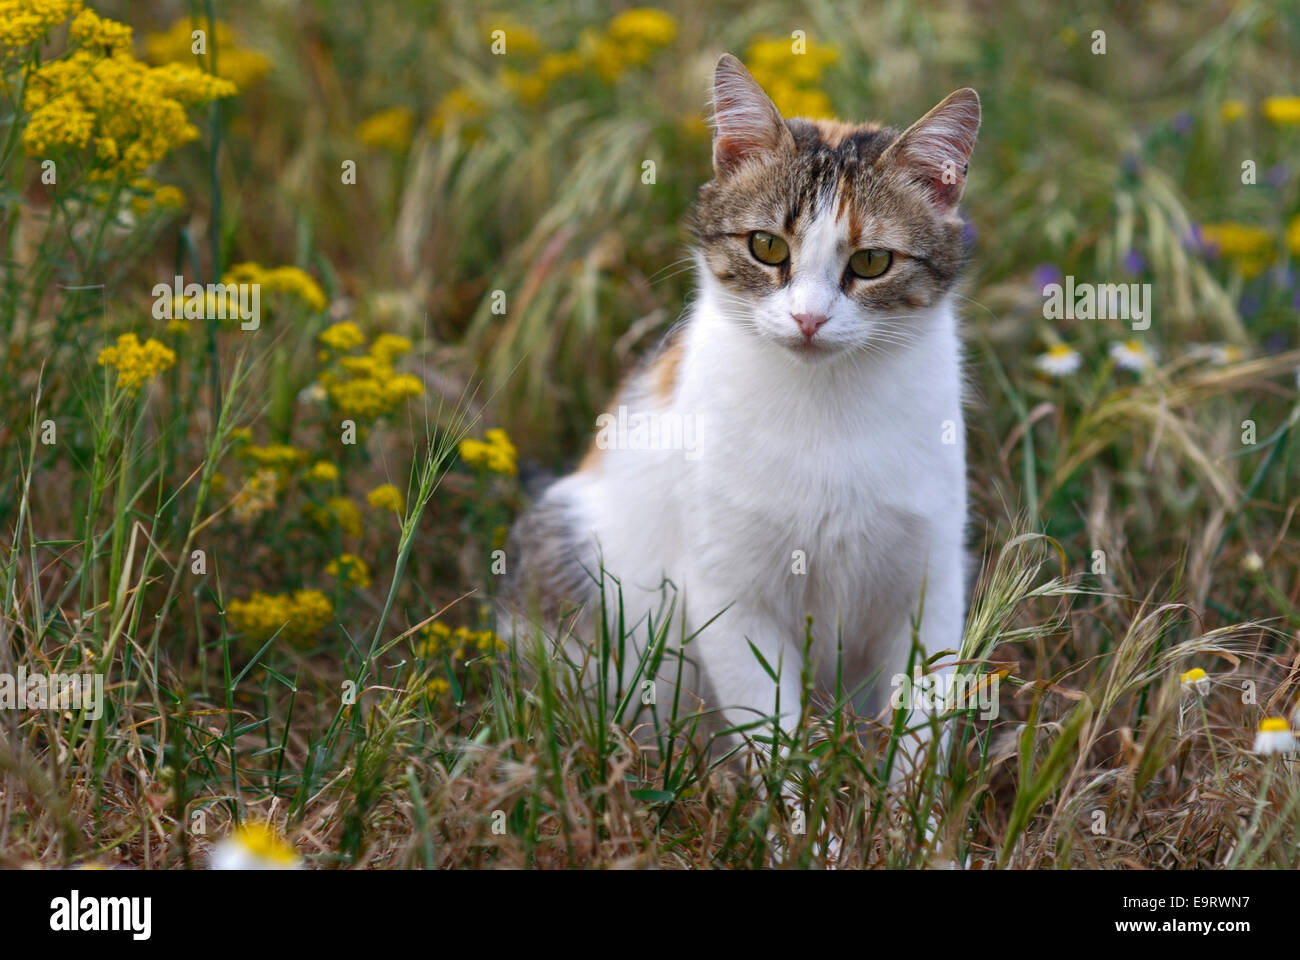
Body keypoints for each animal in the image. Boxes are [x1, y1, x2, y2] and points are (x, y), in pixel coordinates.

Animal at [501, 52, 977, 754]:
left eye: (872, 260)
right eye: (767, 246)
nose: (809, 319)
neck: (825, 409)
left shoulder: (931, 584)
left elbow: (916, 734)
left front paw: (907, 789)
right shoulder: (728, 591)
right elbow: (769, 729)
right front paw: (793, 788)